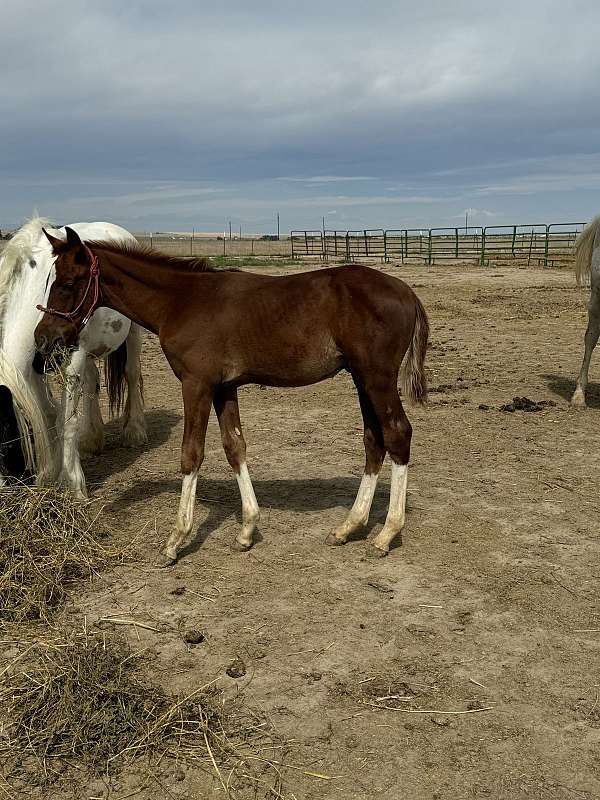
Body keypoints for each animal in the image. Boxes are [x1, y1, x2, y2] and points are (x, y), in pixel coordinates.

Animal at [0, 217, 146, 494]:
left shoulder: (72, 356)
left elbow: (65, 420)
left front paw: (71, 483)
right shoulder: (34, 368)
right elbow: (48, 416)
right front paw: (49, 473)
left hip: (132, 333)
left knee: (132, 375)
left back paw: (134, 431)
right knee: (91, 381)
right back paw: (91, 440)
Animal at [35, 225, 428, 564]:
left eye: (68, 283)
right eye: (51, 281)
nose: (44, 338)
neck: (182, 302)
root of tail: (407, 291)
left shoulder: (196, 383)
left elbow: (191, 453)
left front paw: (176, 540)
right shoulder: (224, 387)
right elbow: (234, 446)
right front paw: (247, 529)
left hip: (377, 378)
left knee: (397, 434)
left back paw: (386, 534)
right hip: (362, 379)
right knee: (374, 440)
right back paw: (349, 526)